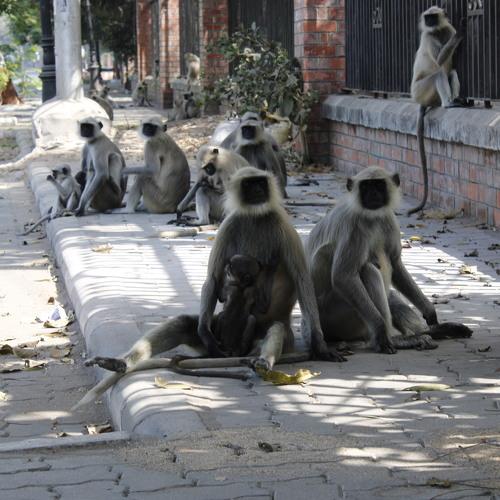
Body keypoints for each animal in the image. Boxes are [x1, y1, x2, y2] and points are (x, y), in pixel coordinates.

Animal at [306, 166, 473, 355]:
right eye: (365, 186)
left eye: (378, 185)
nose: (372, 193)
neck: (371, 216)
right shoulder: (353, 226)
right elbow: (343, 276)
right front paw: (381, 333)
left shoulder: (388, 219)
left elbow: (396, 264)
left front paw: (430, 312)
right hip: (338, 317)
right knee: (368, 270)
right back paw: (392, 340)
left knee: (389, 292)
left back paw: (432, 332)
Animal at [409, 6, 464, 215]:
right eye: (427, 18)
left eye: (433, 17)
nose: (430, 22)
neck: (437, 31)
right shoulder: (428, 35)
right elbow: (440, 61)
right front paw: (460, 34)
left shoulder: (445, 28)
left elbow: (449, 64)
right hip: (421, 91)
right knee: (439, 73)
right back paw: (449, 104)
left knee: (451, 72)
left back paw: (455, 101)